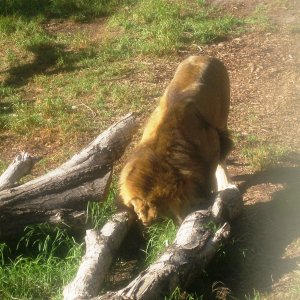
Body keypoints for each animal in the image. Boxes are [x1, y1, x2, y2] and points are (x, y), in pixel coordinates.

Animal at [118, 56, 233, 225]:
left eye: (163, 213)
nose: (145, 223)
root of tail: (205, 56)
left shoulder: (213, 145)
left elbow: (212, 175)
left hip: (222, 117)